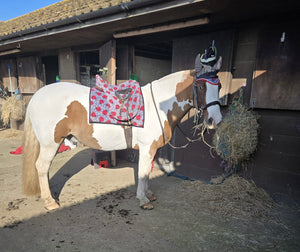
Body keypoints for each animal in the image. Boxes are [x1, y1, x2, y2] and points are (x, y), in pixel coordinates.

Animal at [22, 54, 221, 210]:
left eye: (218, 86)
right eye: (201, 87)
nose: (215, 120)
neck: (157, 105)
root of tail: (37, 95)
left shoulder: (152, 149)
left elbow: (146, 173)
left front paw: (148, 193)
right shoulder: (146, 148)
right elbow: (143, 172)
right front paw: (143, 200)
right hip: (51, 143)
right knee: (41, 166)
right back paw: (50, 202)